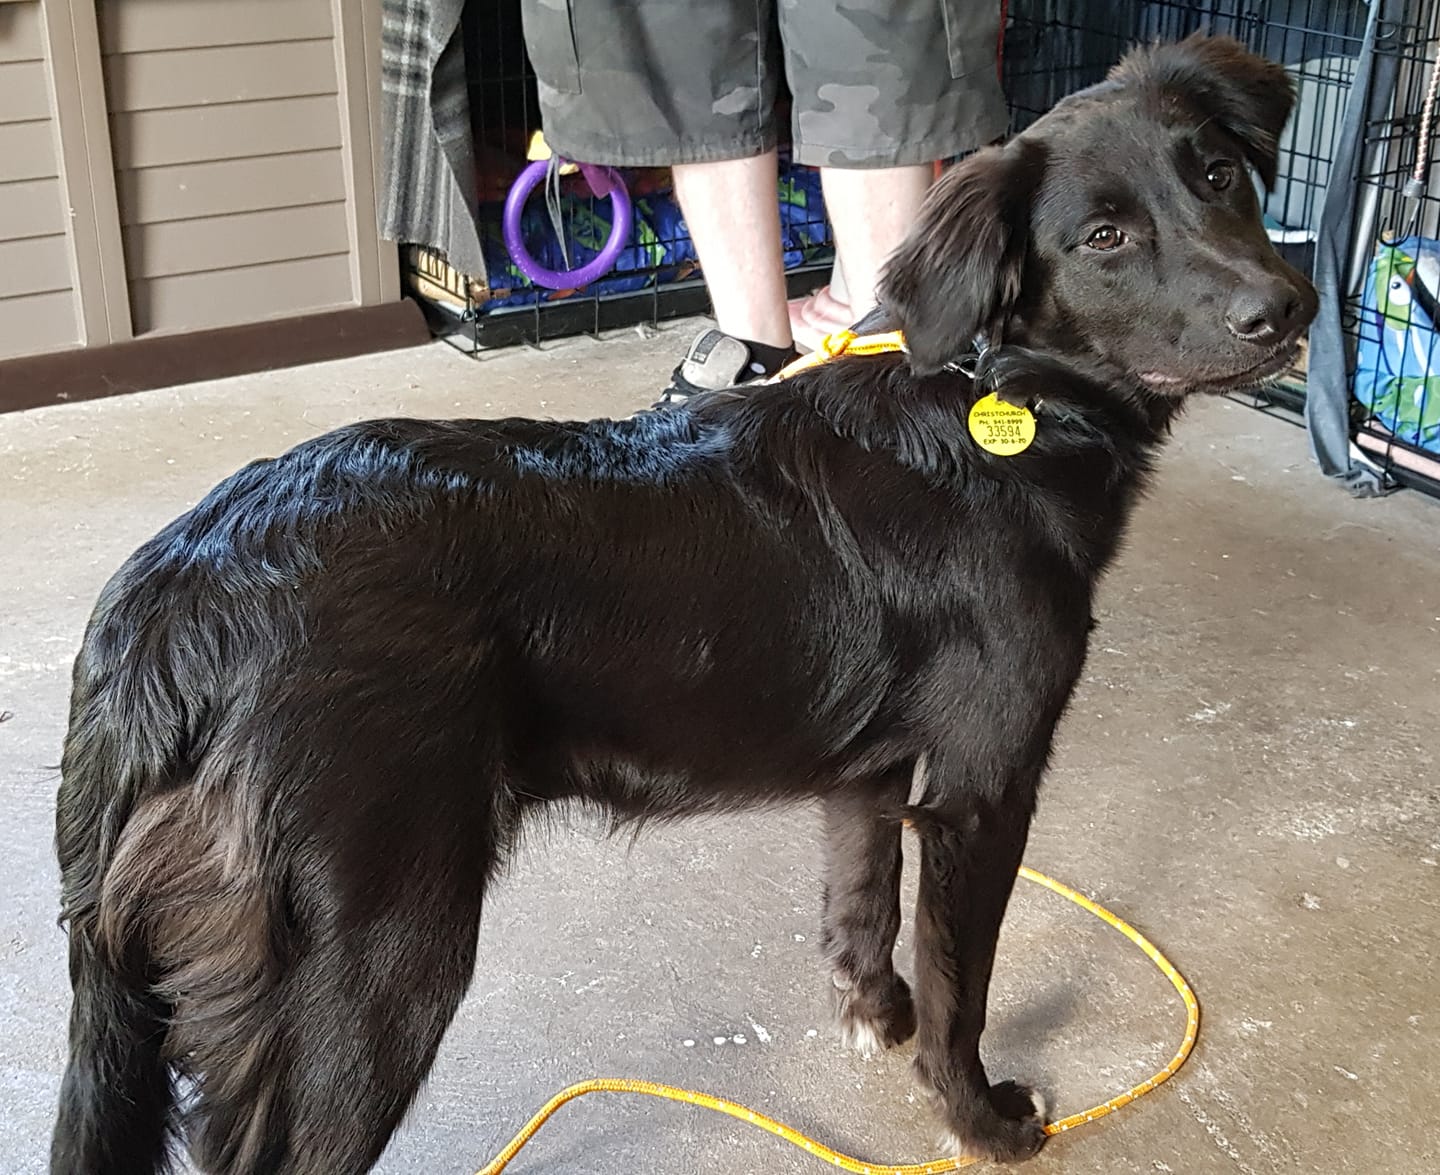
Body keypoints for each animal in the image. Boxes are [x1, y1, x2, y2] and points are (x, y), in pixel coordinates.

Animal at [50, 33, 1315, 1175]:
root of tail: (172, 595)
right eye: (1105, 237)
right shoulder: (979, 788)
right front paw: (982, 1117)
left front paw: (877, 1011)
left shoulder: (868, 774)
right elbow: (966, 983)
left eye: (1218, 175)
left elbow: (860, 906)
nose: (1289, 307)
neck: (993, 400)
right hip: (380, 954)